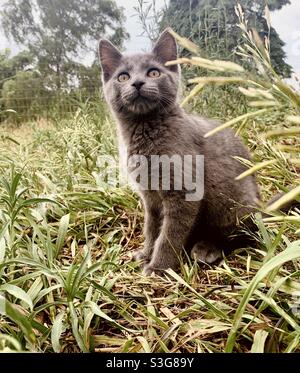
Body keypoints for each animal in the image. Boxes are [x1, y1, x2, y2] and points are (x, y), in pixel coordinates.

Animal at [98, 29, 260, 274]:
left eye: (154, 72)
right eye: (123, 77)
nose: (137, 82)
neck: (146, 131)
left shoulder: (184, 193)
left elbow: (169, 235)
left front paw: (158, 267)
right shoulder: (150, 197)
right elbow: (152, 228)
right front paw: (146, 253)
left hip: (233, 206)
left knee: (242, 236)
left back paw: (206, 249)